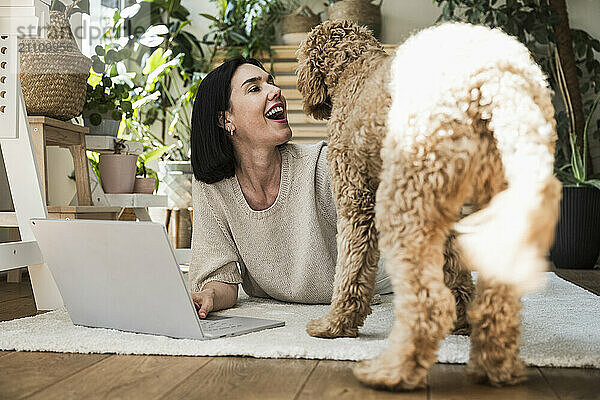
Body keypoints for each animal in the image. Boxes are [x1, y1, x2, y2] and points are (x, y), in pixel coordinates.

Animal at [296, 21, 564, 390]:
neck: (355, 66)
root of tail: (496, 80)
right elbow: (456, 269)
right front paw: (464, 320)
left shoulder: (356, 199)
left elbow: (351, 268)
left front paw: (334, 326)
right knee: (499, 297)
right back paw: (496, 367)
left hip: (403, 200)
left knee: (429, 305)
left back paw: (392, 371)